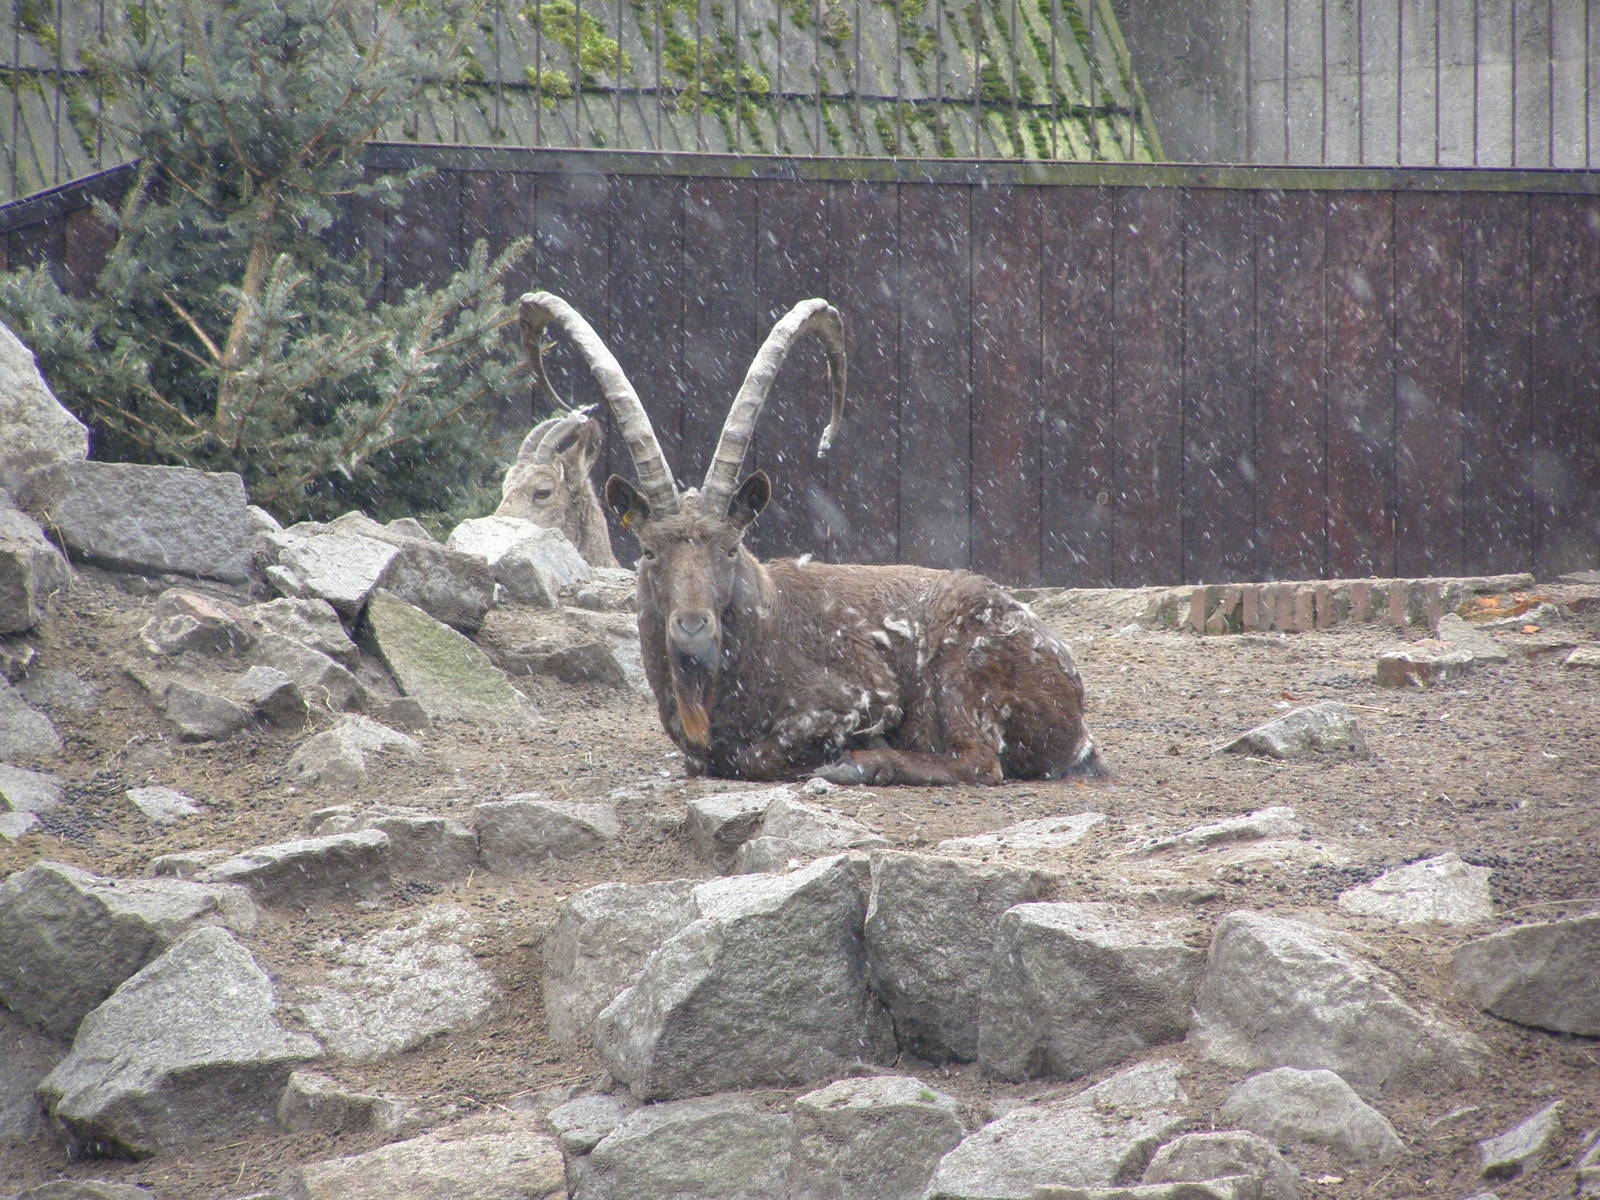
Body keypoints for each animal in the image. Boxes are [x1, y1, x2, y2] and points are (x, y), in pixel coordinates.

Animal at [517, 291, 1105, 786]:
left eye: (730, 547)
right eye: (648, 550)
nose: (691, 628)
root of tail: (1075, 713)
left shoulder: (863, 697)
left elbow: (755, 756)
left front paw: (846, 755)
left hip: (964, 679)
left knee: (980, 762)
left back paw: (860, 765)